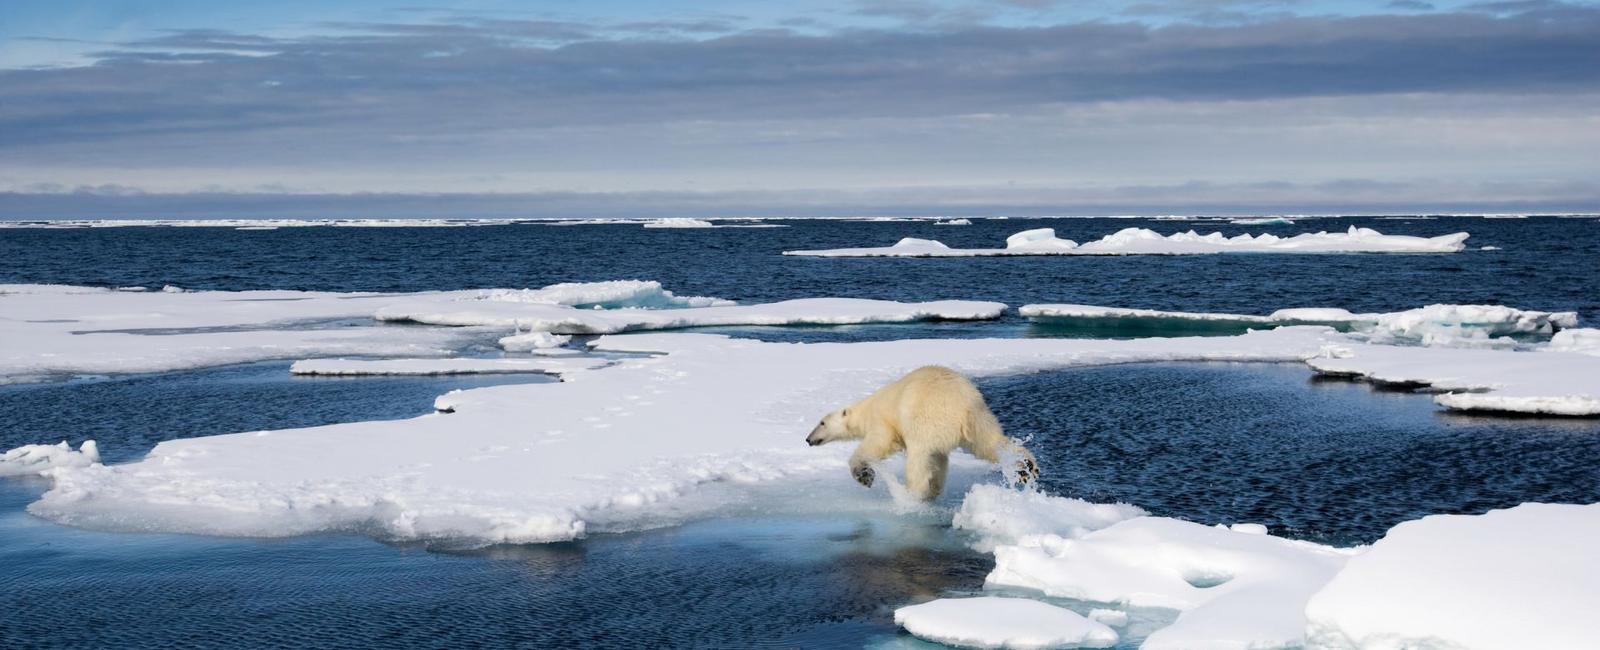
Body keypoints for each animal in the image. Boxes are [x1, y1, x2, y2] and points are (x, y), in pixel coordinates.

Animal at [800, 365, 1036, 502]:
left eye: (822, 422)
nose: (808, 439)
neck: (866, 409)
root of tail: (962, 406)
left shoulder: (883, 421)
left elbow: (878, 444)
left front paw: (865, 475)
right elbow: (940, 460)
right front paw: (935, 490)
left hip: (925, 417)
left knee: (918, 457)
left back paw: (910, 494)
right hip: (980, 415)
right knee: (989, 443)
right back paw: (1026, 467)